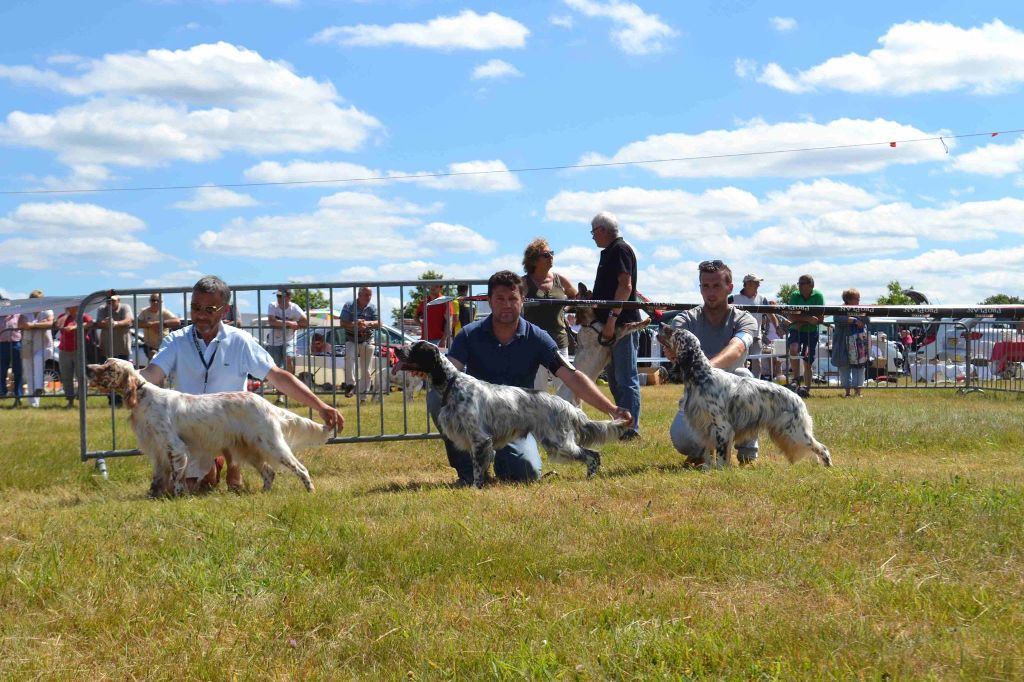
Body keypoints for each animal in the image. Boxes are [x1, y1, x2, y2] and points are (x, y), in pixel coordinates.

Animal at [88, 356, 329, 493]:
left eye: (109, 367)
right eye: (104, 362)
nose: (88, 367)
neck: (143, 396)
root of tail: (266, 404)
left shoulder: (174, 447)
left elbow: (176, 478)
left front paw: (177, 496)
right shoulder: (157, 450)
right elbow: (158, 478)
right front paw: (154, 496)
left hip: (272, 445)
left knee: (300, 468)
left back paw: (310, 491)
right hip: (251, 449)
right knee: (269, 472)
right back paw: (264, 493)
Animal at [395, 337, 626, 485]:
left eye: (416, 347)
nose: (396, 348)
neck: (452, 383)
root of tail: (566, 405)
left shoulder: (480, 439)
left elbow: (478, 469)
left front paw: (476, 488)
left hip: (558, 442)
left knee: (593, 454)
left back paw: (590, 478)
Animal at [655, 327, 831, 466]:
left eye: (674, 332)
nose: (661, 324)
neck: (702, 377)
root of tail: (798, 397)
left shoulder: (722, 427)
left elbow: (721, 455)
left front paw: (719, 470)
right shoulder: (705, 425)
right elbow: (708, 451)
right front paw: (707, 468)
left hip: (795, 431)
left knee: (821, 448)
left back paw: (828, 466)